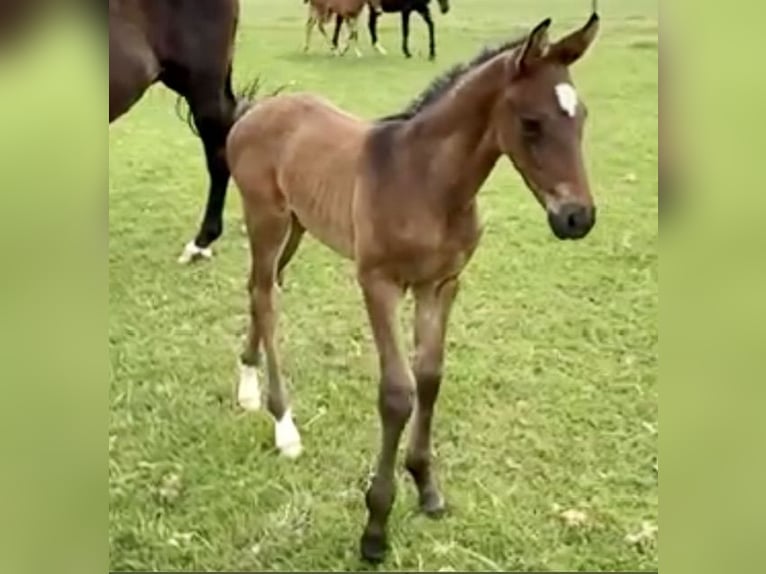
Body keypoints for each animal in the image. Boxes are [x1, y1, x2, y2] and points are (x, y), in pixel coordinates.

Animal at [228, 10, 600, 568]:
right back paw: (284, 425)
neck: (427, 183)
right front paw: (375, 528)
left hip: (295, 225)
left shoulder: (441, 284)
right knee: (267, 299)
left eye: (582, 119)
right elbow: (398, 393)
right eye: (531, 123)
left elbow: (430, 377)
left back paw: (249, 389)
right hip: (265, 219)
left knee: (261, 289)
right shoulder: (378, 282)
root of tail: (255, 110)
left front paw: (426, 486)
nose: (577, 218)